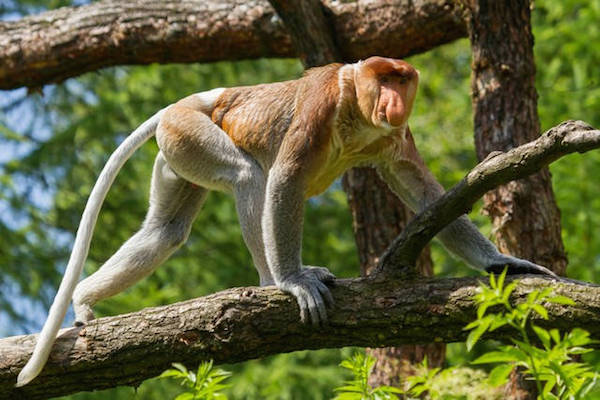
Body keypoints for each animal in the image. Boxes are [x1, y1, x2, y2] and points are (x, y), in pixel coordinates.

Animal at [16, 56, 556, 384]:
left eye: (404, 79)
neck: (355, 105)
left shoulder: (392, 136)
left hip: (175, 155)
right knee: (248, 175)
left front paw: (504, 262)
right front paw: (294, 282)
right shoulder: (319, 103)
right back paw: (273, 280)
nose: (396, 100)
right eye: (386, 79)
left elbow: (421, 188)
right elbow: (286, 176)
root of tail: (190, 101)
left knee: (164, 232)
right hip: (189, 131)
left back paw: (84, 298)